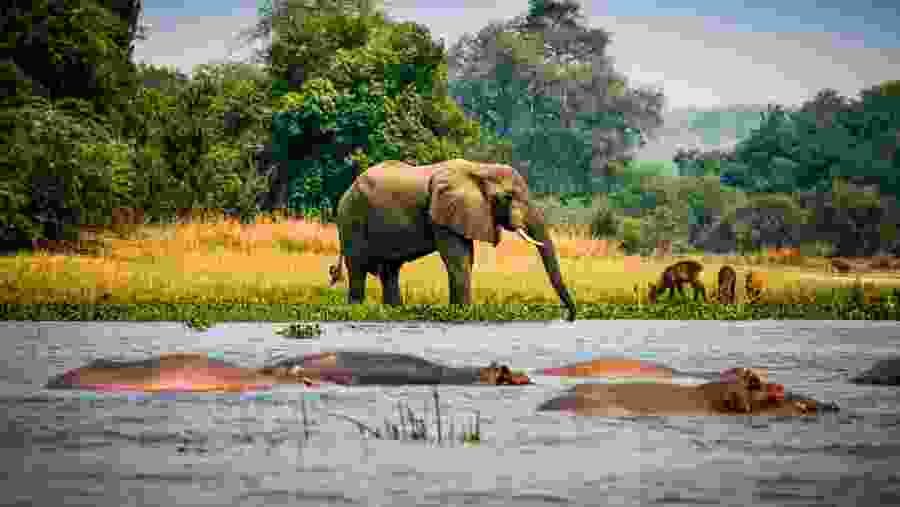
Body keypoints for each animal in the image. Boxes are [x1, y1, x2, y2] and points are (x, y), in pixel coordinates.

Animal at [331, 159, 577, 321]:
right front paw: (465, 314)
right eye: (509, 197)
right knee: (358, 268)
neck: (480, 168)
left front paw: (457, 312)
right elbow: (458, 259)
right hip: (351, 217)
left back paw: (394, 312)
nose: (569, 317)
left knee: (390, 270)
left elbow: (466, 258)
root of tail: (346, 191)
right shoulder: (442, 212)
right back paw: (357, 311)